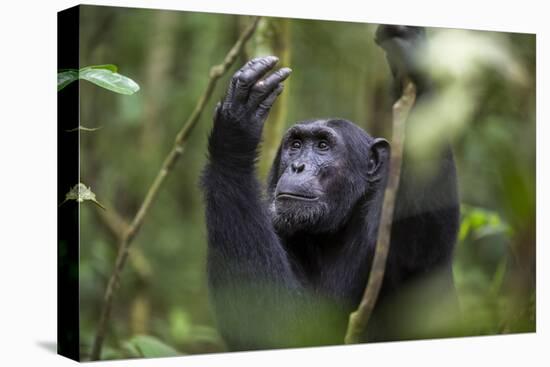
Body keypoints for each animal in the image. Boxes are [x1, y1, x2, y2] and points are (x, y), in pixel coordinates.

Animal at [201, 23, 460, 350]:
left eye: (323, 146)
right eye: (296, 145)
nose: (298, 166)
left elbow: (419, 241)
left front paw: (412, 57)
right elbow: (276, 325)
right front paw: (234, 132)